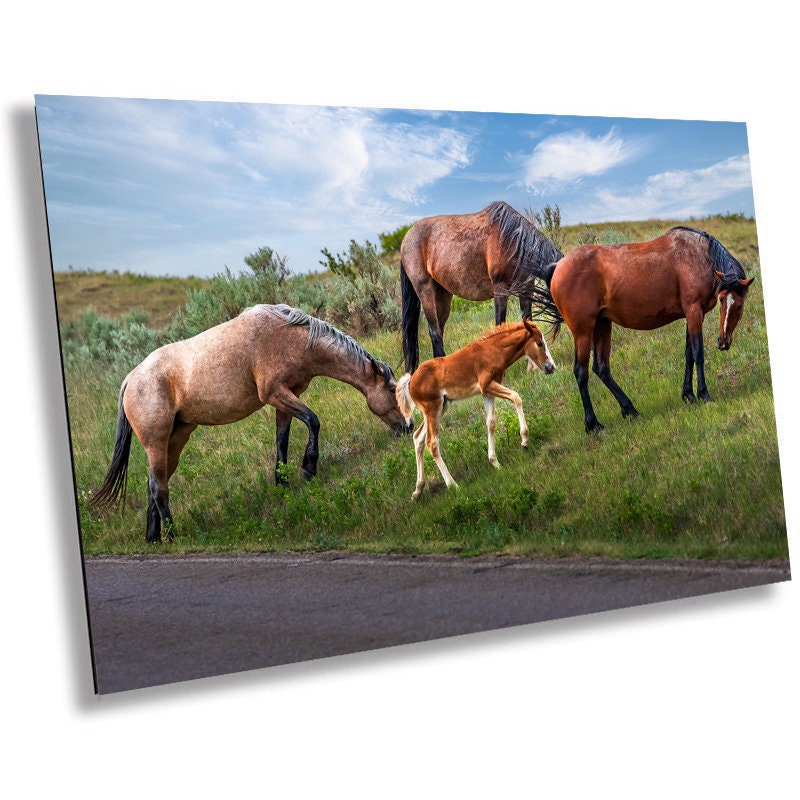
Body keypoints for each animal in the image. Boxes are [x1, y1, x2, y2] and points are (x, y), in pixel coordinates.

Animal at [89, 303, 410, 542]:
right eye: (392, 391)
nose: (407, 428)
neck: (290, 336)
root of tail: (131, 379)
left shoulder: (286, 397)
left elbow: (283, 441)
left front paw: (283, 483)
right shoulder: (275, 394)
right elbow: (314, 422)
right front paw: (308, 468)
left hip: (176, 438)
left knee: (155, 482)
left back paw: (154, 537)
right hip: (156, 440)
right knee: (159, 488)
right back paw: (172, 535)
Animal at [395, 318, 556, 500]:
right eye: (539, 343)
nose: (551, 367)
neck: (493, 350)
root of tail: (410, 381)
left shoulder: (486, 392)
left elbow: (491, 422)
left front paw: (495, 462)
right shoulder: (488, 385)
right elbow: (516, 397)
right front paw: (524, 440)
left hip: (439, 407)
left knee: (418, 438)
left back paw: (418, 490)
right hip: (433, 408)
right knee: (432, 442)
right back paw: (453, 485)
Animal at [399, 201, 563, 373]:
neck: (513, 240)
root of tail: (406, 239)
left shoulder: (526, 288)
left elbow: (528, 321)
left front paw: (531, 368)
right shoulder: (500, 288)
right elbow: (500, 324)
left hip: (443, 295)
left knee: (439, 330)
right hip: (425, 290)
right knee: (434, 331)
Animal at [543, 226, 754, 433]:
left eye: (739, 305)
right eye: (723, 300)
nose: (723, 342)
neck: (699, 254)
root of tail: (558, 267)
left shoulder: (691, 315)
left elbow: (688, 355)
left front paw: (688, 395)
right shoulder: (694, 312)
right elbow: (698, 354)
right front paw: (704, 394)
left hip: (602, 325)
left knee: (601, 368)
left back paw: (630, 410)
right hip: (583, 332)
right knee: (581, 372)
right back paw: (593, 424)